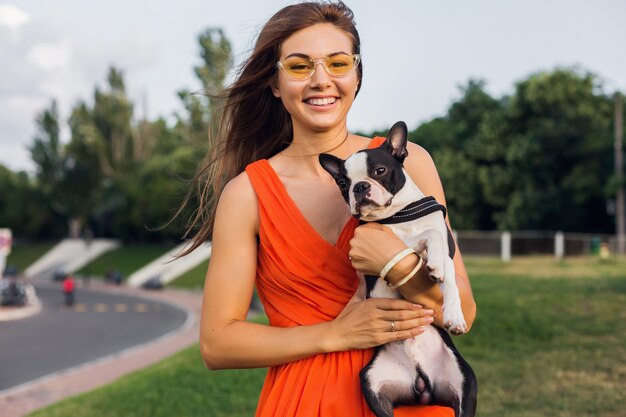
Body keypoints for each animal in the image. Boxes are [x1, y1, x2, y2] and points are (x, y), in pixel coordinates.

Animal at [320, 121, 476, 416]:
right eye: (343, 183)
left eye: (379, 171)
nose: (359, 187)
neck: (399, 214)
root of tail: (422, 382)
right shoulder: (380, 255)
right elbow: (422, 237)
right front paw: (430, 259)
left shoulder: (447, 247)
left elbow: (447, 273)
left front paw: (454, 315)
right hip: (372, 386)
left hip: (465, 384)